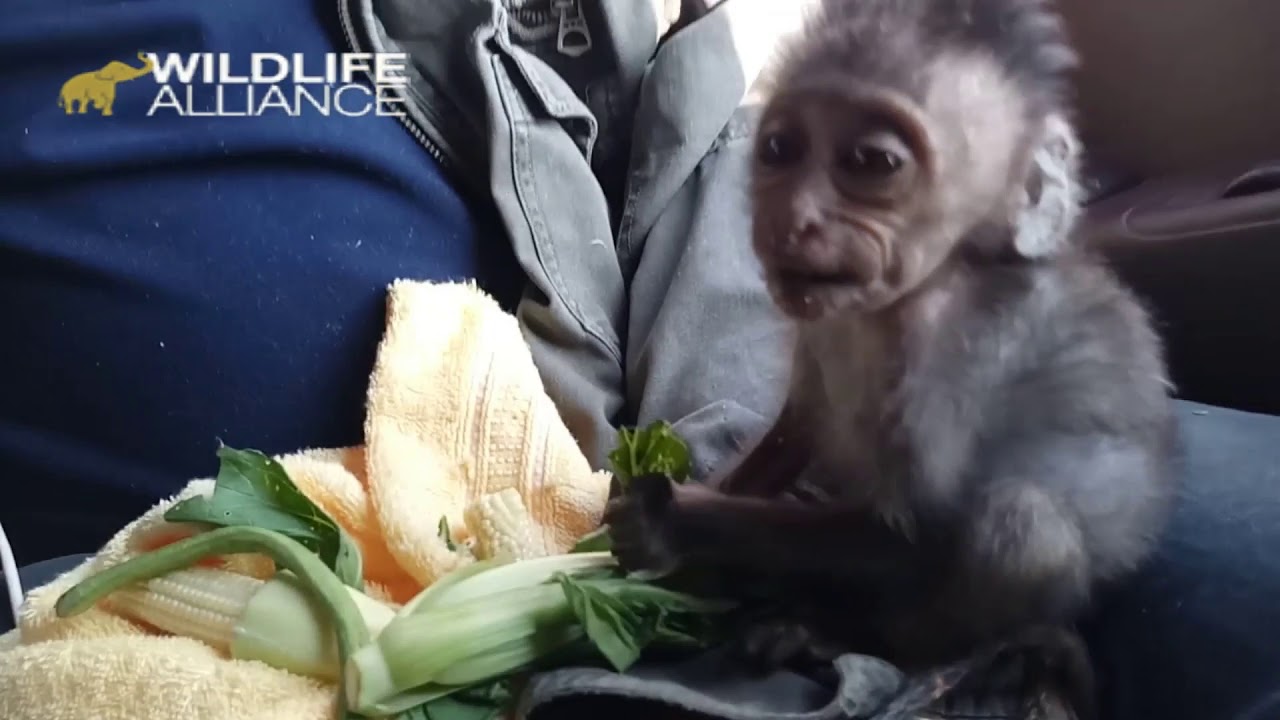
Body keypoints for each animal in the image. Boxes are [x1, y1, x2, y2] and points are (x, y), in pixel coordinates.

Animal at [603, 0, 1178, 716]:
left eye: (872, 161)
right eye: (780, 149)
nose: (795, 219)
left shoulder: (950, 360)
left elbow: (919, 539)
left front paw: (673, 519)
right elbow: (800, 427)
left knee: (1021, 524)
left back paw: (847, 637)